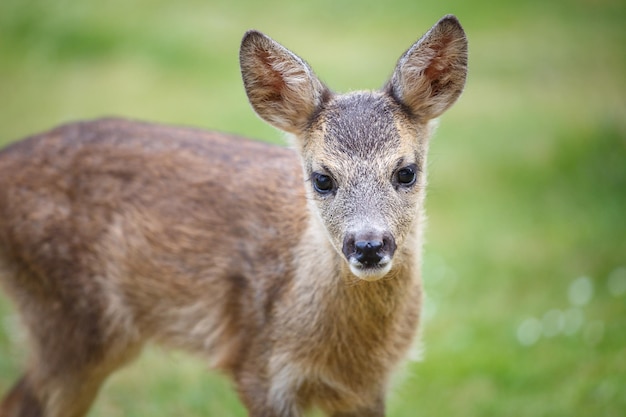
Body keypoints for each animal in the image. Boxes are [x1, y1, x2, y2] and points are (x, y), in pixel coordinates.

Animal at [0, 14, 466, 416]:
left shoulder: (369, 389)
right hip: (68, 317)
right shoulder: (257, 367)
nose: (368, 245)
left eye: (406, 171)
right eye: (321, 178)